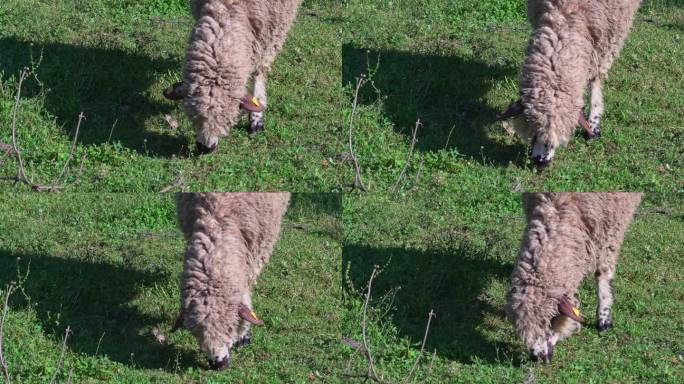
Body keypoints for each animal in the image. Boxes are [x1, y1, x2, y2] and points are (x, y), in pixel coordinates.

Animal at [163, 1, 302, 154]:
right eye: (194, 116)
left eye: (227, 119)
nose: (206, 148)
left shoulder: (275, 26)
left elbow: (260, 69)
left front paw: (256, 116)